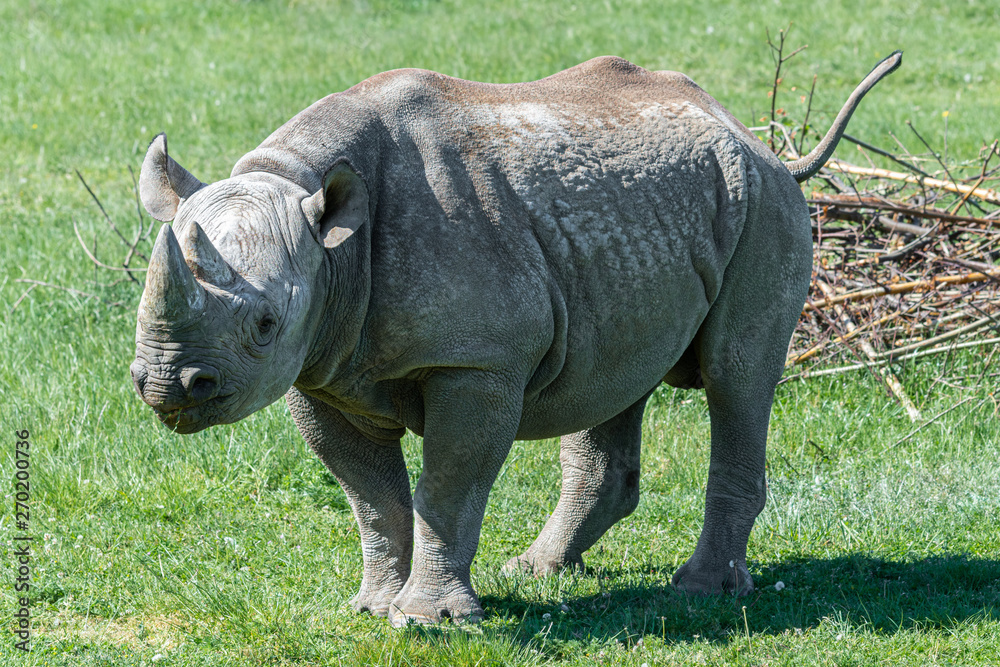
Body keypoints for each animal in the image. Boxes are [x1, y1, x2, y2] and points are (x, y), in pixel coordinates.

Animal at [131, 52, 901, 625]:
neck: (326, 236)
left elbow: (446, 485)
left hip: (763, 207)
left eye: (264, 324)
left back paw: (700, 590)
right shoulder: (322, 366)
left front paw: (431, 620)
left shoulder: (475, 364)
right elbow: (370, 493)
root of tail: (755, 139)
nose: (168, 384)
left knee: (736, 377)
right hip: (641, 223)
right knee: (611, 378)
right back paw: (536, 570)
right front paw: (372, 607)